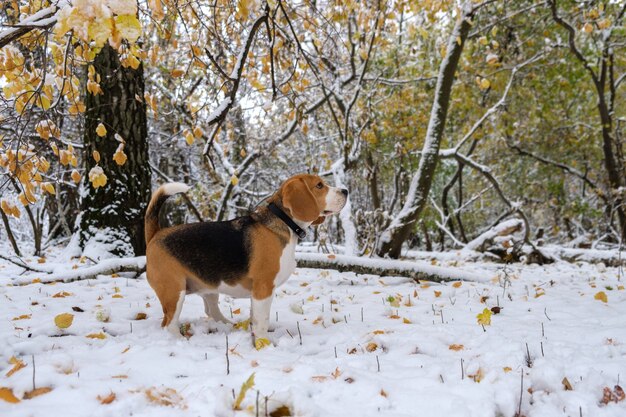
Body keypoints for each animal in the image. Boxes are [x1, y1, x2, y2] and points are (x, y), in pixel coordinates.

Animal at [144, 173, 346, 348]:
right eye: (319, 185)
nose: (345, 191)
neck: (284, 222)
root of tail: (156, 234)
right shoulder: (264, 288)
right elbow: (262, 320)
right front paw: (264, 344)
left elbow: (255, 318)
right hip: (174, 292)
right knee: (168, 324)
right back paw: (180, 340)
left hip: (209, 287)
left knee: (211, 311)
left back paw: (227, 325)